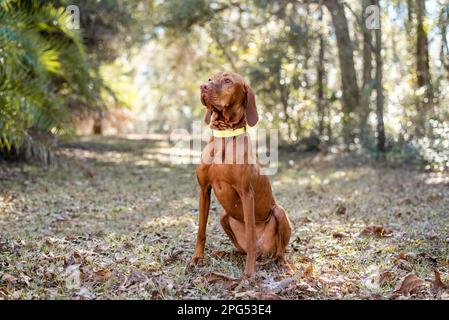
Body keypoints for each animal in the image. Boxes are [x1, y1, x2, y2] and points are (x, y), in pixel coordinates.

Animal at [191, 71, 292, 276]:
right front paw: (197, 258)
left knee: (278, 250)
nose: (203, 86)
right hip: (224, 216)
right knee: (240, 249)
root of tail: (264, 252)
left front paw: (249, 273)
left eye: (227, 80)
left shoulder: (246, 194)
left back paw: (282, 263)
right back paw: (225, 253)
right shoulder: (204, 190)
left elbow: (251, 236)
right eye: (210, 79)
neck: (224, 137)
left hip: (279, 212)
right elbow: (201, 231)